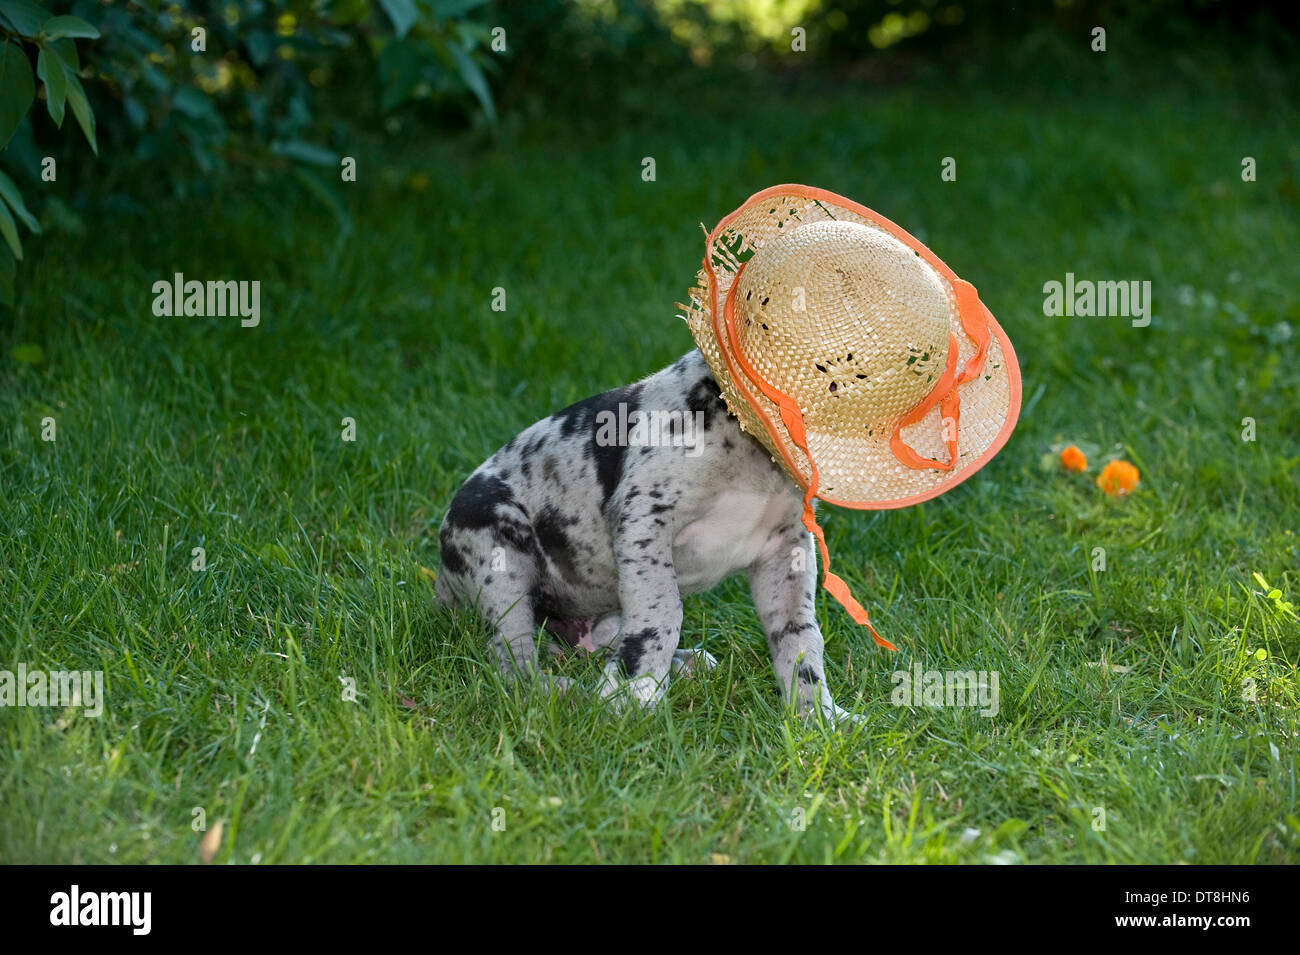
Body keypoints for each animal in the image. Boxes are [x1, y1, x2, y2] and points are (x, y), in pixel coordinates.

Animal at [439, 350, 873, 722]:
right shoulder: (646, 517)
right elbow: (662, 609)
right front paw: (632, 697)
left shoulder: (787, 547)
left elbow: (799, 634)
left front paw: (817, 714)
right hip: (499, 549)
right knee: (512, 658)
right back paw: (558, 689)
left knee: (600, 639)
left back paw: (681, 662)